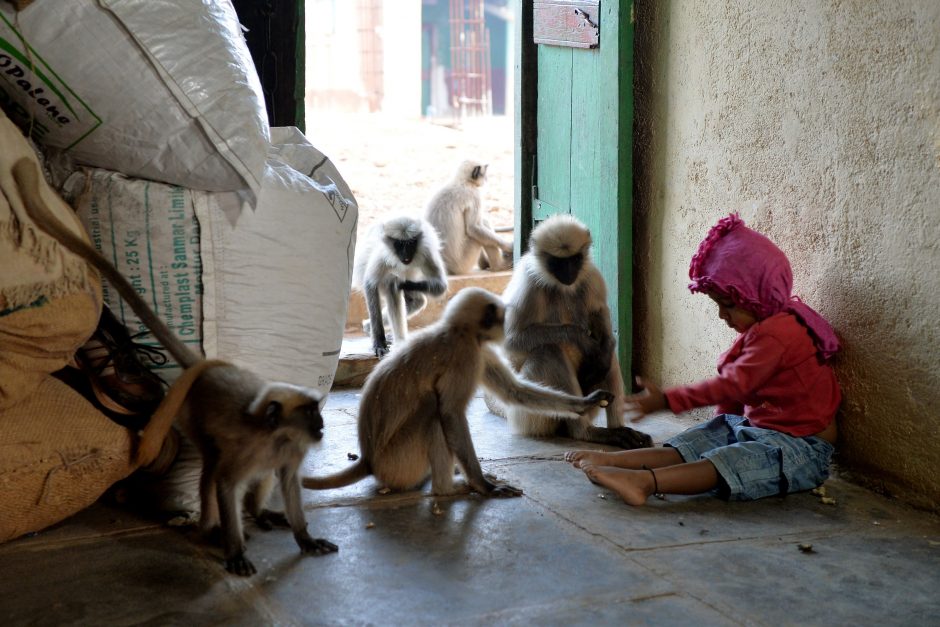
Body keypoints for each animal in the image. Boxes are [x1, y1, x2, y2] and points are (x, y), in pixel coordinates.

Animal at [11, 158, 338, 580]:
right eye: (311, 412)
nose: (321, 425)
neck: (275, 436)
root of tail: (205, 370)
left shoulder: (289, 449)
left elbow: (289, 483)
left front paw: (304, 537)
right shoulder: (250, 448)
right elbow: (226, 484)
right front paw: (234, 548)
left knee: (258, 476)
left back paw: (258, 513)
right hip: (191, 417)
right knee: (211, 468)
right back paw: (212, 530)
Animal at [302, 288, 616, 498]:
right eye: (501, 318)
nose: (506, 327)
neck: (458, 331)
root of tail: (369, 460)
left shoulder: (479, 350)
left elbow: (514, 391)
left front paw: (585, 403)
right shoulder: (466, 356)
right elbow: (451, 413)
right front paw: (483, 485)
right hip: (399, 462)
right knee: (433, 409)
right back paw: (447, 488)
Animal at [356, 215, 452, 358]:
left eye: (411, 243)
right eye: (399, 244)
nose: (406, 254)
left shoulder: (426, 252)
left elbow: (440, 286)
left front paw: (403, 283)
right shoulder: (382, 256)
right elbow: (370, 285)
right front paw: (379, 342)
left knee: (414, 300)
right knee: (390, 287)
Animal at [484, 215, 652, 452]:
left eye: (575, 259)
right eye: (558, 262)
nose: (569, 272)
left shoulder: (590, 274)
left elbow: (601, 319)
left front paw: (602, 348)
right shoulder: (528, 283)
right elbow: (509, 342)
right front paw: (580, 338)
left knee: (607, 355)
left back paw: (617, 429)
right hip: (528, 415)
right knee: (548, 351)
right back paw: (584, 432)